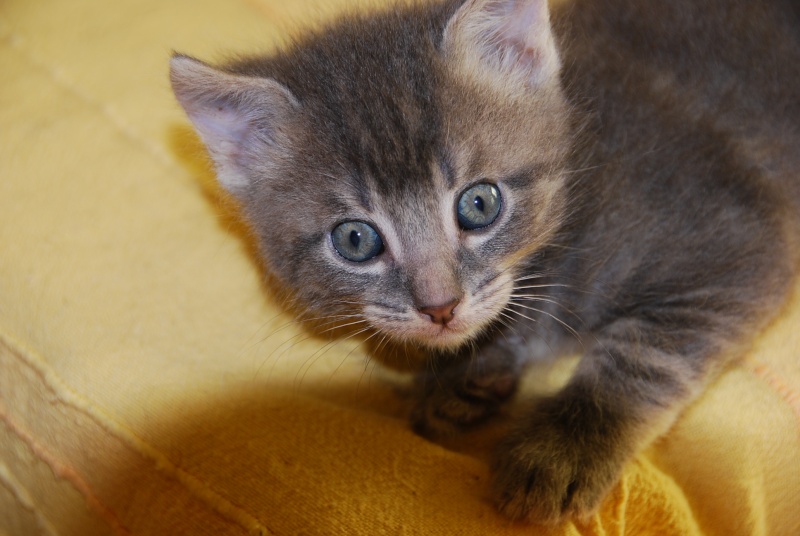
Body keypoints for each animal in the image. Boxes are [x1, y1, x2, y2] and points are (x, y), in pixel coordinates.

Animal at [170, 0, 800, 524]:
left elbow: (645, 354)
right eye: (355, 240)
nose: (440, 306)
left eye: (479, 204)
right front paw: (467, 373)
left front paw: (562, 451)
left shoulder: (736, 246)